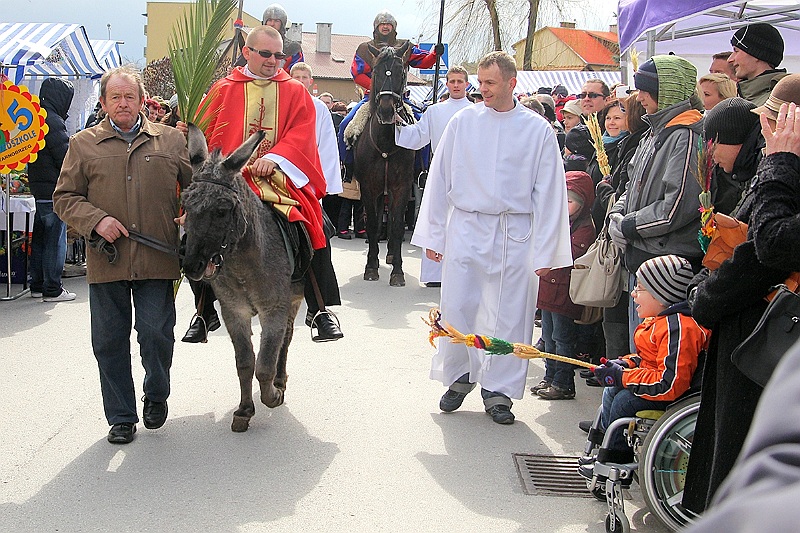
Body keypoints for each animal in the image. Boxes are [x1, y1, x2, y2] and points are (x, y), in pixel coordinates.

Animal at [181, 124, 304, 433]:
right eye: (185, 205)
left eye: (222, 210)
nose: (191, 265)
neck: (244, 267)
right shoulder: (233, 312)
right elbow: (245, 363)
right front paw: (245, 410)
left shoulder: (274, 310)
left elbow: (265, 365)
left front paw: (272, 395)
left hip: (294, 301)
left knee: (287, 338)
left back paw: (281, 380)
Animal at [353, 42, 416, 287]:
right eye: (376, 72)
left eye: (401, 72)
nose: (387, 111)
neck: (386, 144)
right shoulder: (369, 188)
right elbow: (372, 225)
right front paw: (371, 266)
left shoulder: (401, 187)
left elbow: (397, 227)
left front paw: (397, 271)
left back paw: (389, 255)